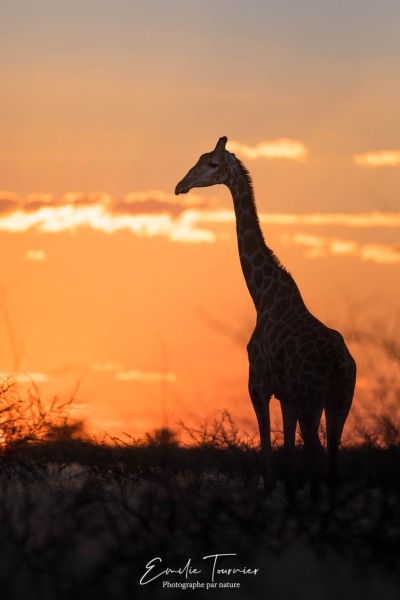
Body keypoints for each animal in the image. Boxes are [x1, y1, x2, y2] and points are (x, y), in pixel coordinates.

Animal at [175, 136, 356, 502]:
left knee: (316, 453)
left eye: (212, 163)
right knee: (331, 461)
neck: (262, 296)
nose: (180, 186)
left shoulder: (257, 385)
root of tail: (338, 362)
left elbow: (269, 460)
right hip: (340, 399)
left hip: (313, 397)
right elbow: (288, 458)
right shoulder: (286, 394)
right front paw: (291, 504)